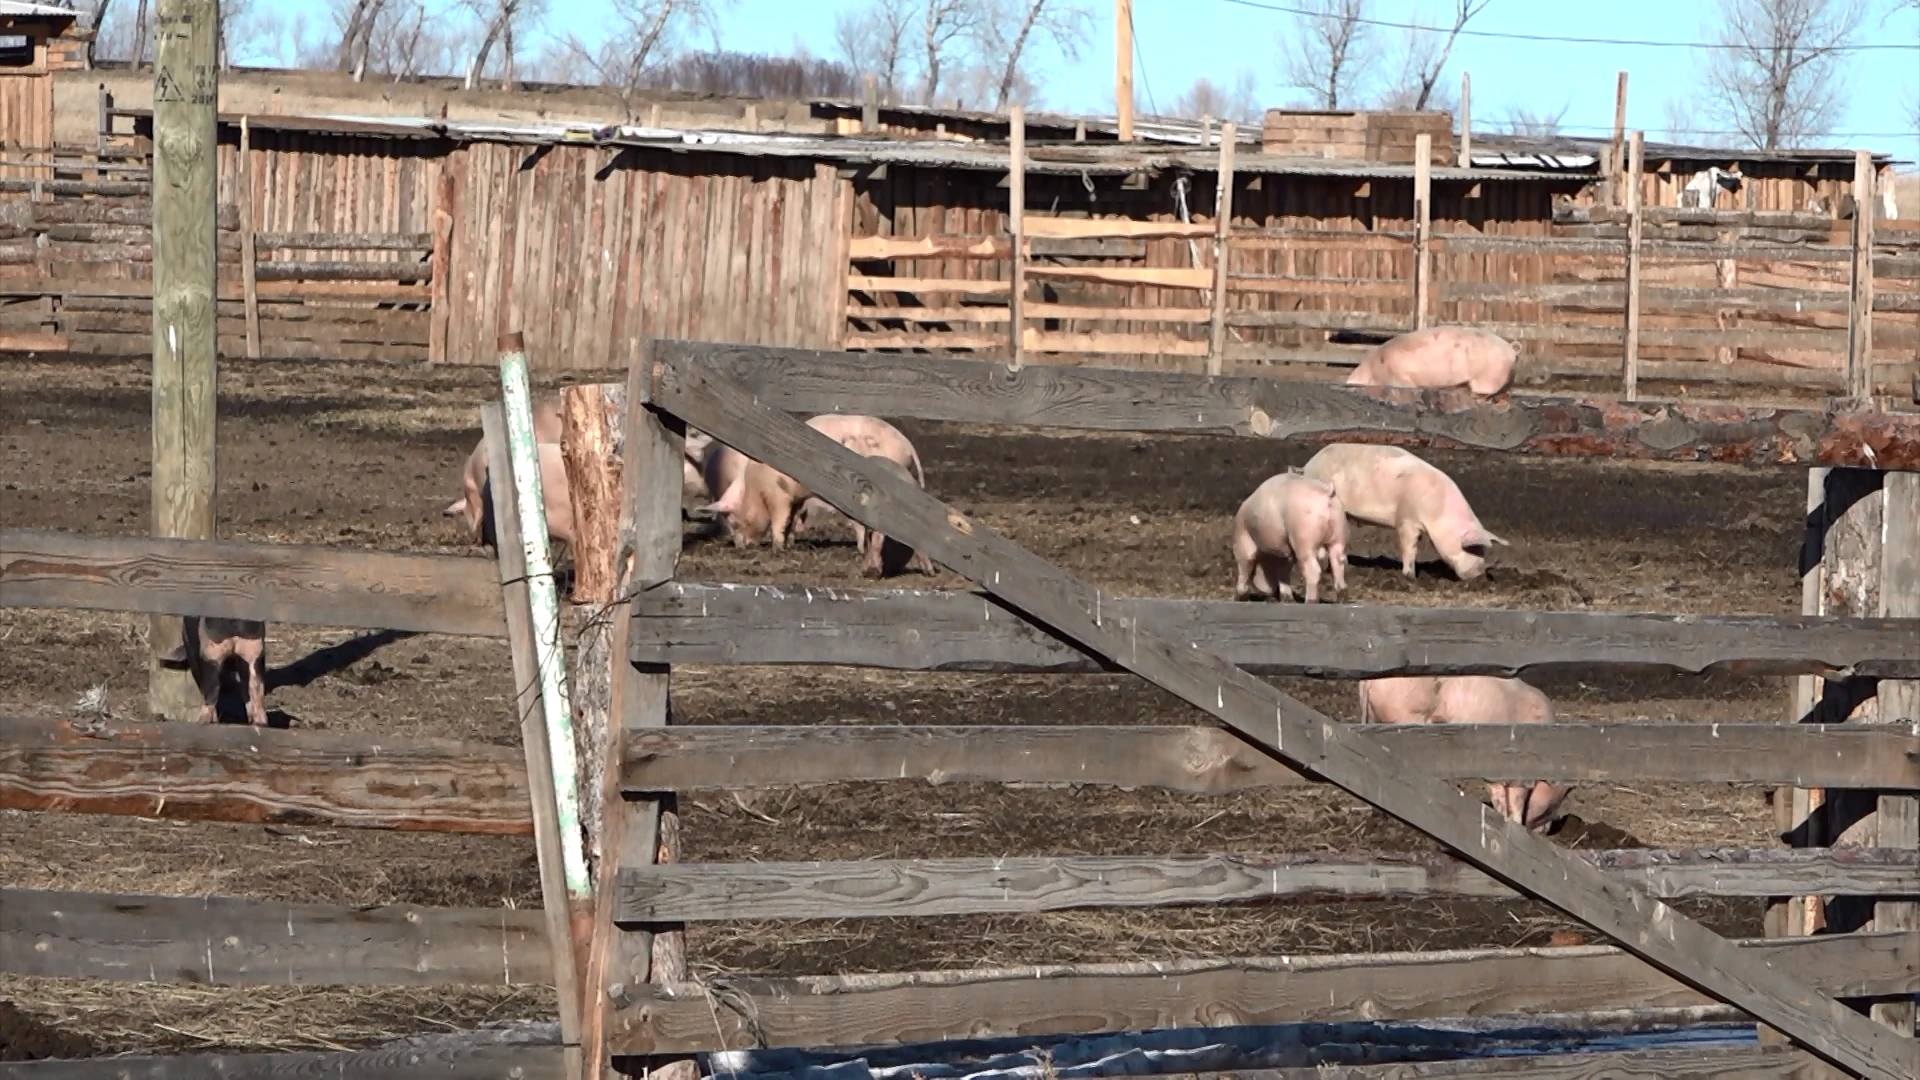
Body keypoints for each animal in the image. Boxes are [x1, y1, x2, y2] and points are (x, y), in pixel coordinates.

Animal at [706, 409, 921, 549]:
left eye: (734, 521)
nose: (740, 547)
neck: (754, 487)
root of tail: (908, 445)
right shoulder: (796, 497)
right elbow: (790, 520)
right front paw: (789, 543)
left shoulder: (778, 494)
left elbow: (779, 519)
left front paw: (778, 548)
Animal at [1228, 468, 1351, 599]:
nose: (1270, 592)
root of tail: (1327, 492)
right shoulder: (1286, 552)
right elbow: (1284, 572)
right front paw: (1287, 597)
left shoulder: (1243, 540)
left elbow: (1245, 563)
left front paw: (1240, 596)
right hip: (1339, 534)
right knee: (1338, 562)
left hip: (1304, 540)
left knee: (1313, 571)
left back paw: (1310, 600)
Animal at [1297, 441, 1505, 580]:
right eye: (1472, 548)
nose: (1479, 576)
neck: (1437, 509)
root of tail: (1308, 466)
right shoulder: (1406, 517)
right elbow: (1408, 547)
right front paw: (1410, 577)